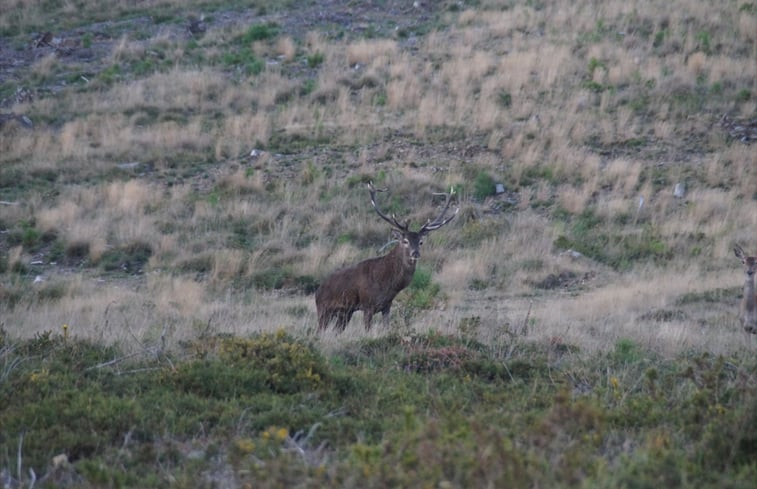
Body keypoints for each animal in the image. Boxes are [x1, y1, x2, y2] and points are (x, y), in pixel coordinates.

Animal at [316, 181, 458, 334]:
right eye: (405, 241)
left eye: (421, 242)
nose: (415, 253)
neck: (388, 285)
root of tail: (317, 291)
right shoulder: (368, 305)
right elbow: (367, 330)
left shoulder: (387, 306)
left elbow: (387, 327)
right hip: (323, 310)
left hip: (345, 313)